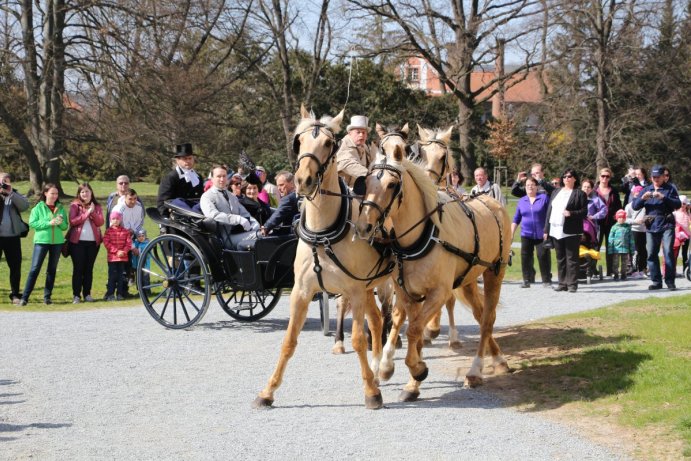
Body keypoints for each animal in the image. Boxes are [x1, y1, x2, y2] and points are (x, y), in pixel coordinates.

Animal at [254, 107, 394, 410]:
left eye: (329, 143)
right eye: (299, 141)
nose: (303, 181)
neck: (323, 233)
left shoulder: (354, 290)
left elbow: (358, 340)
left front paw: (370, 392)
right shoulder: (302, 291)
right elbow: (289, 340)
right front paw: (268, 391)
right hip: (368, 287)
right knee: (377, 321)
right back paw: (378, 369)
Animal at [354, 126, 510, 398]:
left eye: (392, 184)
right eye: (367, 181)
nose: (364, 226)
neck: (420, 236)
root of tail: (491, 202)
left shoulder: (438, 293)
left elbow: (415, 329)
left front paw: (416, 369)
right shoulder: (407, 293)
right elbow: (406, 326)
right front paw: (405, 378)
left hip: (494, 273)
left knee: (487, 320)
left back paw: (476, 370)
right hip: (468, 279)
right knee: (480, 315)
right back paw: (497, 358)